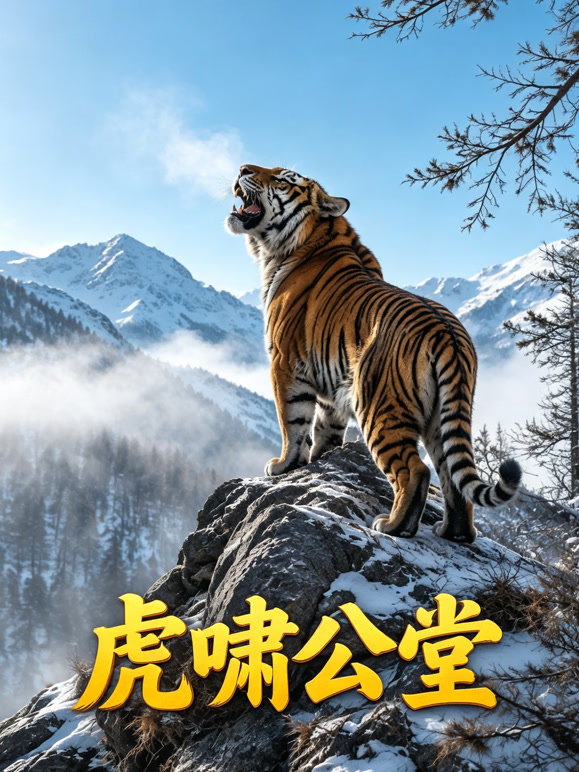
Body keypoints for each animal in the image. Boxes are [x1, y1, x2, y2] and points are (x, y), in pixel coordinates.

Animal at [225, 164, 522, 543]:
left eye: (282, 178)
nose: (243, 168)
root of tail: (447, 332)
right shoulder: (333, 379)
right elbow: (326, 425)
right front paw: (321, 459)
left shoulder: (285, 363)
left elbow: (293, 422)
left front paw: (284, 466)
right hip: (443, 416)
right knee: (451, 475)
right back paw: (452, 532)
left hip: (379, 407)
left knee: (415, 469)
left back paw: (394, 526)